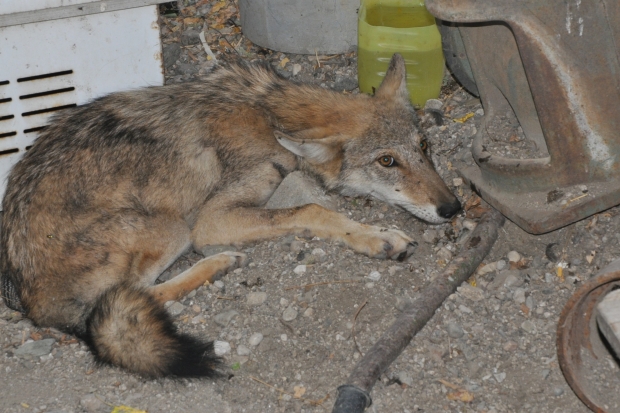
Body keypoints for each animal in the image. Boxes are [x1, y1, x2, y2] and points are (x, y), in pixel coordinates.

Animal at [0, 54, 460, 378]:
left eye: (423, 147)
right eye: (387, 161)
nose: (454, 208)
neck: (269, 116)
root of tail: (29, 301)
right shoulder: (211, 221)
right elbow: (314, 208)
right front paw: (378, 236)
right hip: (174, 228)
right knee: (138, 293)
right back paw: (219, 263)